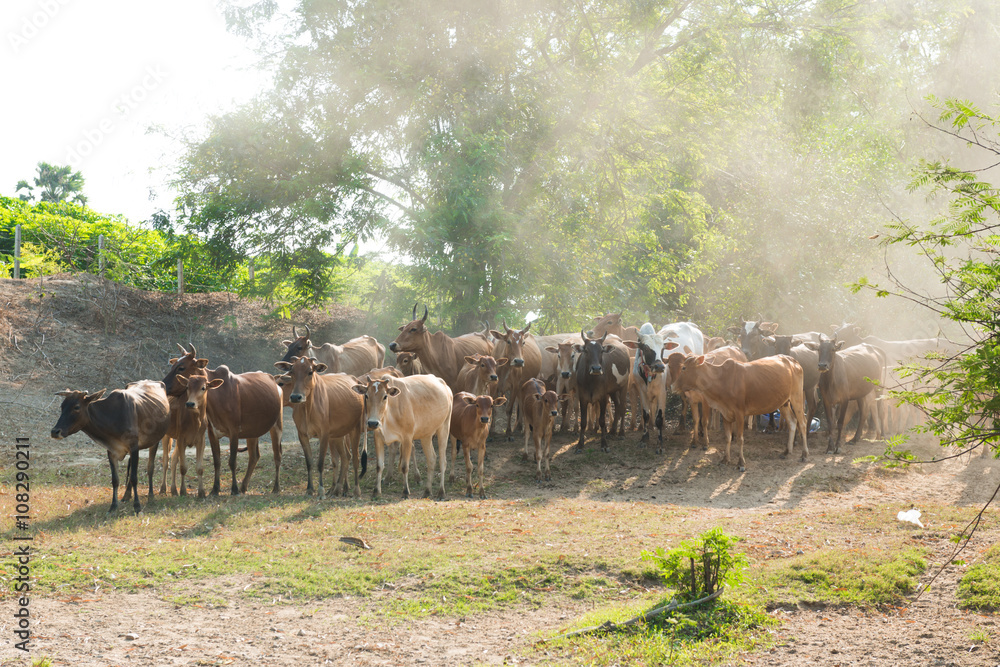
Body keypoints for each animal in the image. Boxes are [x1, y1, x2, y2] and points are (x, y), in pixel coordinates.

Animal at [51, 380, 170, 513]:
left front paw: (137, 506)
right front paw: (113, 506)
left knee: (150, 468)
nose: (55, 431)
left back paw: (150, 496)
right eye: (62, 406)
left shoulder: (134, 447)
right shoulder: (111, 451)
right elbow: (115, 480)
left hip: (156, 440)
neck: (112, 418)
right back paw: (126, 496)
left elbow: (134, 478)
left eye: (76, 407)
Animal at [163, 344, 283, 495]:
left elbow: (232, 462)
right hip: (252, 432)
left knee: (277, 455)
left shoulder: (234, 432)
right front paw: (215, 489)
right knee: (254, 456)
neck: (218, 396)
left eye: (181, 367)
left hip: (277, 425)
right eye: (173, 366)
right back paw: (244, 486)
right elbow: (217, 461)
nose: (163, 384)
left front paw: (234, 489)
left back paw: (275, 487)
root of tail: (275, 381)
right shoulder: (212, 433)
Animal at [273, 355, 367, 498]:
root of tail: (354, 379)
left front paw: (321, 490)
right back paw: (337, 489)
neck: (308, 409)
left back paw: (356, 490)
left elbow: (320, 463)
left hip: (354, 430)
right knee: (345, 457)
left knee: (355, 458)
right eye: (292, 371)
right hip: (338, 435)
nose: (296, 397)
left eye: (310, 372)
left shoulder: (324, 435)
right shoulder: (303, 435)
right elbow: (310, 462)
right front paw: (309, 489)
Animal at [622, 323, 670, 453]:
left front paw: (660, 443)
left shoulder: (662, 392)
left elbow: (659, 417)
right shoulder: (642, 392)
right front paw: (644, 438)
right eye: (646, 348)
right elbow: (645, 414)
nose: (659, 366)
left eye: (663, 349)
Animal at [674, 354, 809, 471]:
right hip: (783, 402)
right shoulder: (725, 413)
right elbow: (728, 437)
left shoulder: (739, 413)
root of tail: (793, 361)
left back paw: (804, 454)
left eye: (684, 368)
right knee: (792, 422)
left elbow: (739, 439)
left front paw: (741, 463)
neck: (721, 381)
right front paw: (725, 459)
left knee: (802, 423)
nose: (673, 386)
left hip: (796, 396)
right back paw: (786, 451)